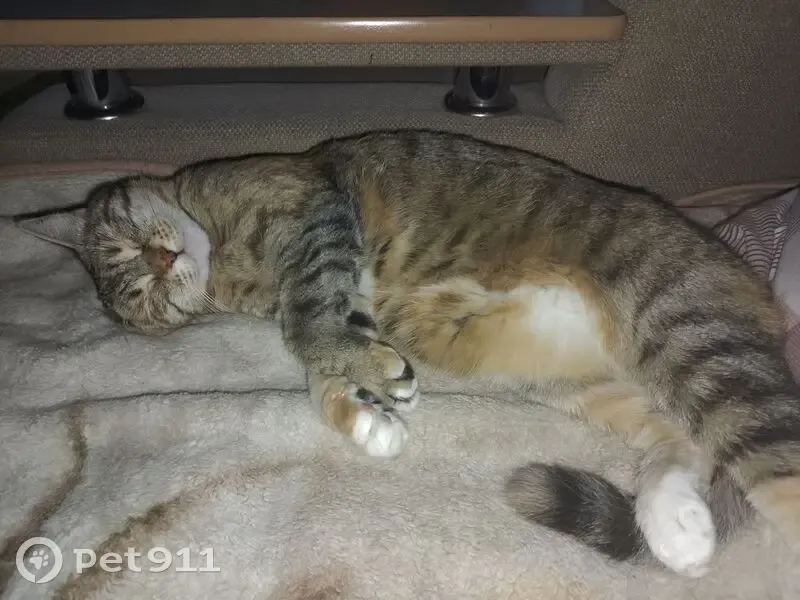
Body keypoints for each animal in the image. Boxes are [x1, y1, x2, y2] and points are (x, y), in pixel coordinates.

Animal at [16, 129, 800, 578]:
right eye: (143, 294)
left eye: (125, 237)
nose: (163, 258)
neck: (226, 257)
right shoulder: (345, 297)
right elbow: (321, 359)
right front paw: (365, 410)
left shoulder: (313, 213)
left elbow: (307, 324)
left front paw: (363, 380)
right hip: (596, 384)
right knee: (683, 443)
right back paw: (676, 528)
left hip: (690, 331)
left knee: (768, 468)